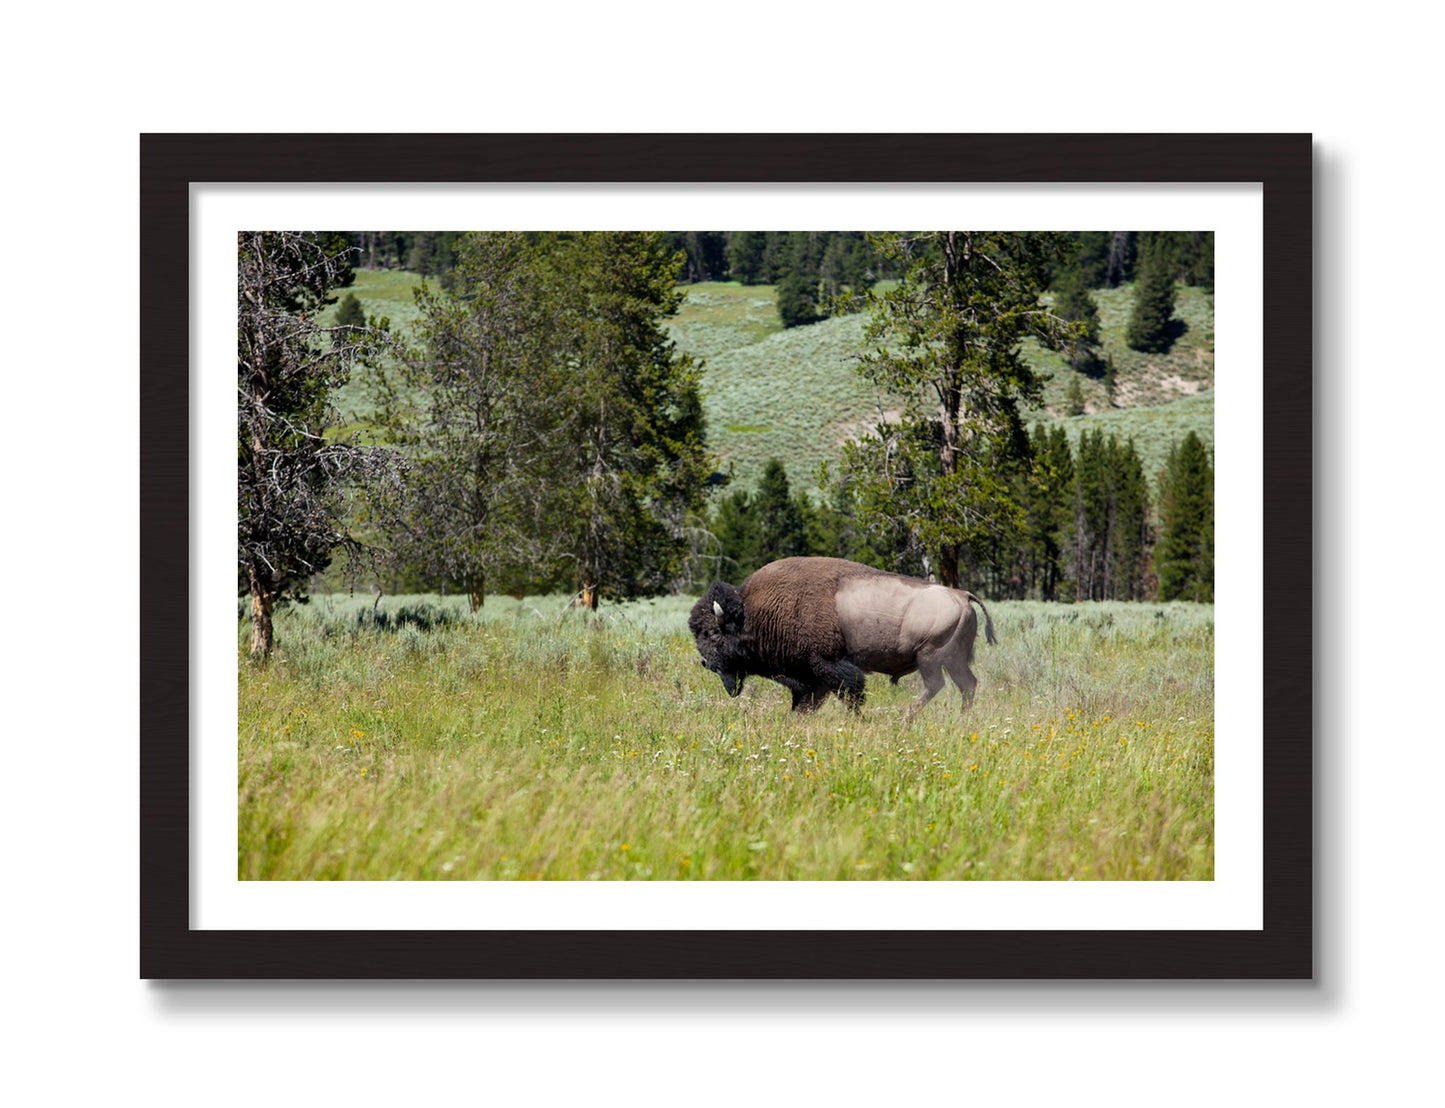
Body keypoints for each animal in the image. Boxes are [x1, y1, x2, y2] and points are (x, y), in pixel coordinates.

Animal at [688, 556, 996, 721]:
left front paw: (860, 720)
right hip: (954, 660)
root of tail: (962, 595)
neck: (753, 612)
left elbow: (850, 693)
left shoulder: (828, 666)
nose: (705, 662)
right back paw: (961, 718)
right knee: (967, 685)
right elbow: (807, 701)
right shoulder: (811, 677)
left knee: (936, 685)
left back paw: (905, 718)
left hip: (930, 656)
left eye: (712, 633)